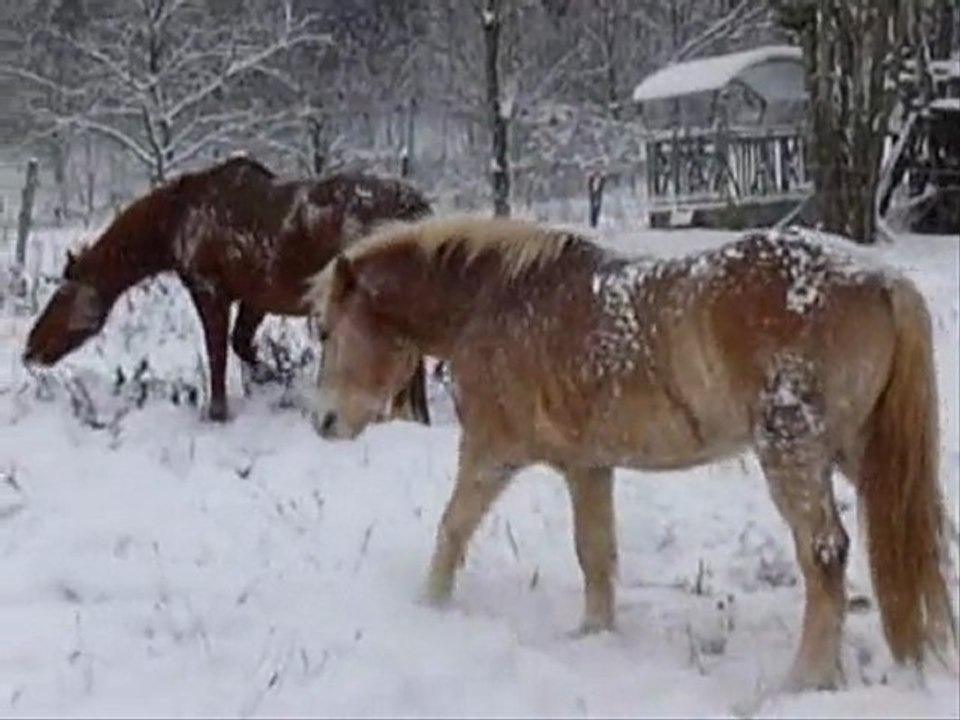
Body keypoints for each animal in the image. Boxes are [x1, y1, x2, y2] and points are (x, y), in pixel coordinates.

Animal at [22, 155, 432, 423]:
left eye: (61, 297)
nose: (30, 350)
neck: (172, 224)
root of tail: (417, 208)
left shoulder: (210, 291)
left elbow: (217, 352)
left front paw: (218, 412)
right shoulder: (256, 298)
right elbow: (242, 345)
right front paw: (274, 378)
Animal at [304, 214, 956, 694]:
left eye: (327, 330)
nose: (323, 420)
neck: (493, 302)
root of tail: (880, 281)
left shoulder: (491, 453)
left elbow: (453, 528)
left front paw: (431, 605)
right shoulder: (588, 467)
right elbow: (595, 553)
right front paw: (594, 633)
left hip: (794, 453)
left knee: (824, 555)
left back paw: (801, 681)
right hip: (861, 455)